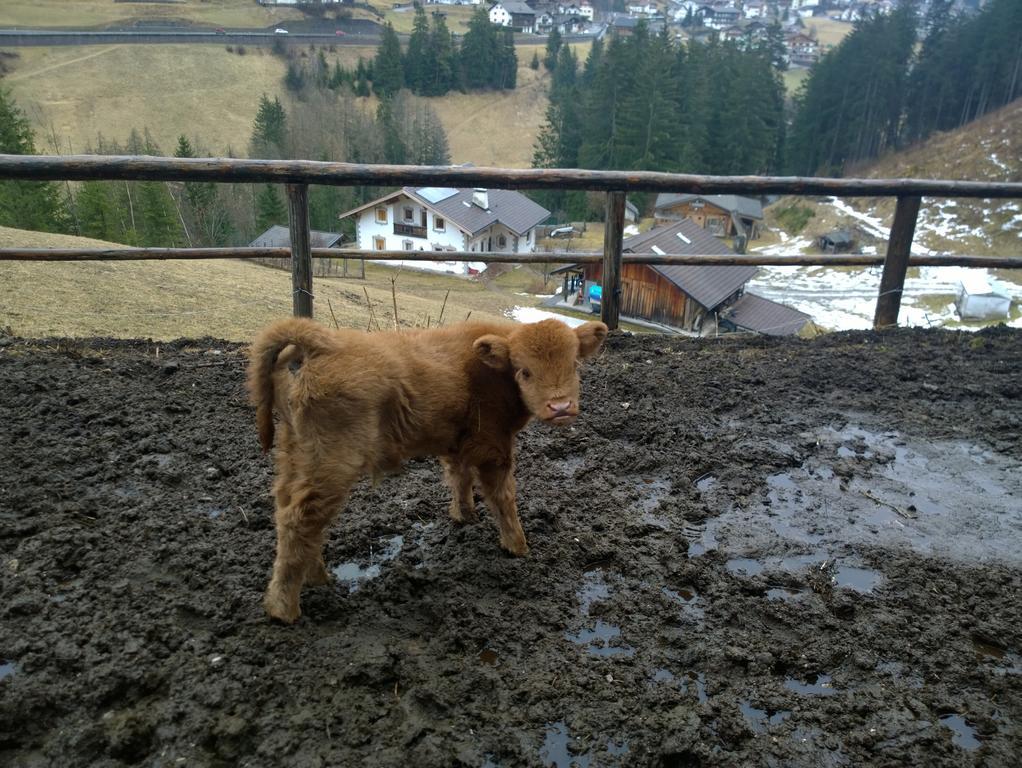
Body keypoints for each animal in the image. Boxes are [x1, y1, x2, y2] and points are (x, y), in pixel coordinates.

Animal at [245, 314, 605, 621]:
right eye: (525, 371)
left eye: (574, 365)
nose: (560, 407)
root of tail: (325, 344)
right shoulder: (493, 448)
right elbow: (503, 498)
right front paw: (518, 547)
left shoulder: (458, 443)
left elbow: (459, 477)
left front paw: (464, 516)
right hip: (331, 463)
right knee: (300, 521)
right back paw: (284, 608)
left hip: (295, 453)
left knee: (290, 513)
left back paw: (315, 577)